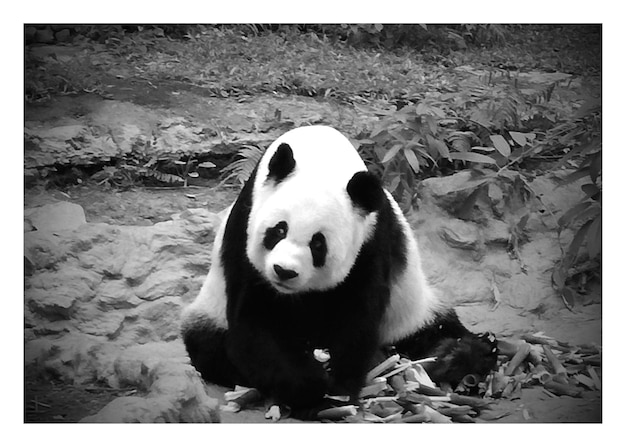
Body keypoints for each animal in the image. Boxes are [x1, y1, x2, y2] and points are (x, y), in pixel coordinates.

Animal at [179, 125, 492, 416]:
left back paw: (451, 357)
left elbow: (357, 318)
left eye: (318, 244)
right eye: (278, 230)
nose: (284, 271)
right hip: (210, 312)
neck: (320, 157)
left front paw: (338, 390)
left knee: (443, 335)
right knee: (207, 346)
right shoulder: (245, 230)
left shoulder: (371, 241)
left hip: (410, 310)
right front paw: (310, 388)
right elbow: (255, 321)